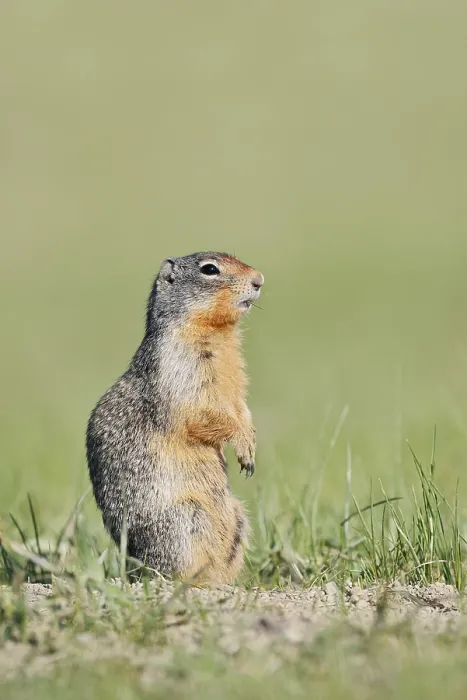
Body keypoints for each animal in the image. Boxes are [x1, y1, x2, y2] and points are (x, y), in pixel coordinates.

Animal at [86, 252, 264, 584]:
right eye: (210, 269)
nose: (260, 279)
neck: (217, 333)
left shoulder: (236, 379)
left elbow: (240, 406)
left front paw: (250, 442)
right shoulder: (179, 367)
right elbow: (200, 412)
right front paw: (243, 444)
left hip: (239, 519)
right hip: (183, 521)